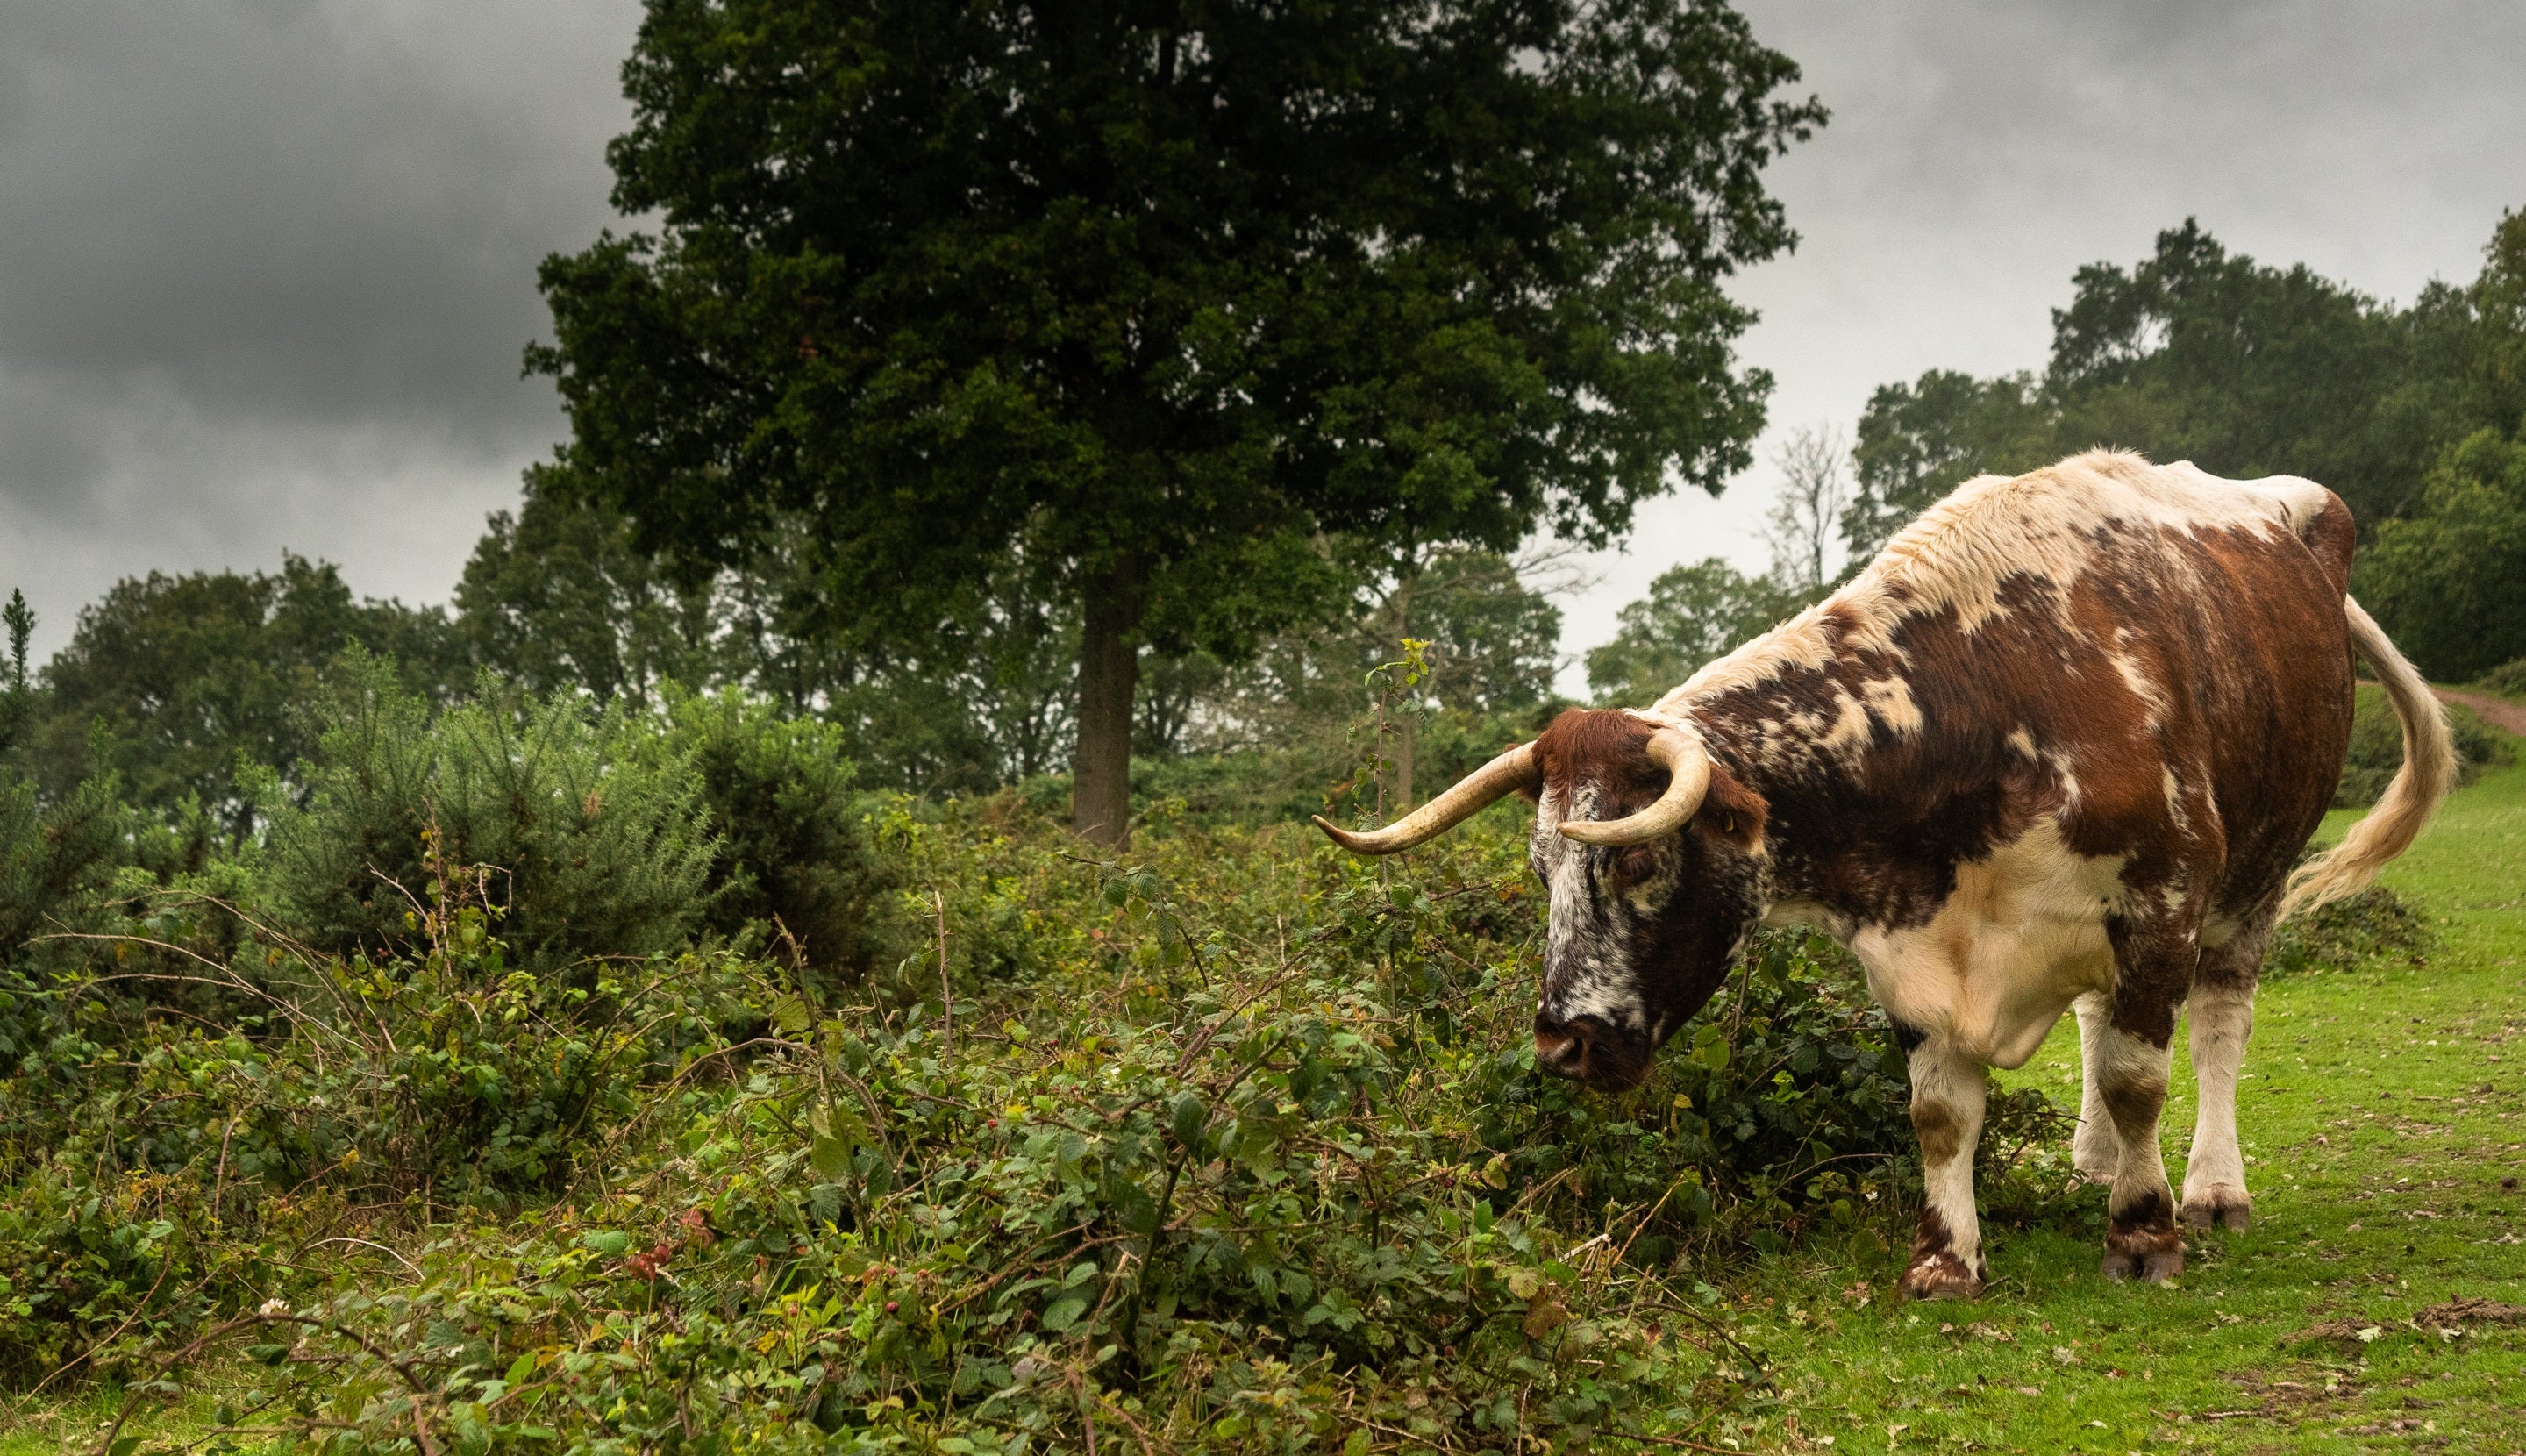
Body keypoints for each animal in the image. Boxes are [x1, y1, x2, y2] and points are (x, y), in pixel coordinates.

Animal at [1314, 450, 2455, 1299]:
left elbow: (2143, 1077)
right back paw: (2091, 1156)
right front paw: (1947, 1258)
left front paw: (2144, 1233)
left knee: (2218, 1025)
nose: (1562, 1043)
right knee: (2100, 1020)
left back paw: (2212, 1187)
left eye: (1637, 856)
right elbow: (1941, 1112)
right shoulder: (1912, 948)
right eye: (1541, 863)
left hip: (2255, 879)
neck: (1993, 700)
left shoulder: (2162, 897)